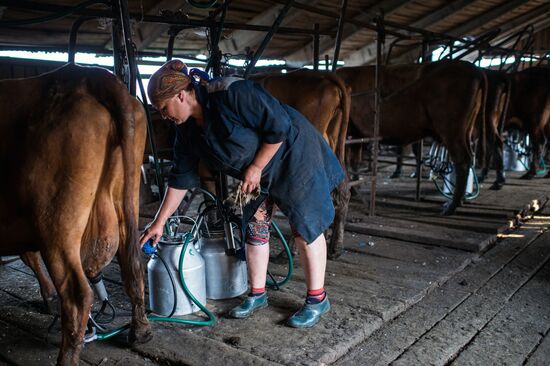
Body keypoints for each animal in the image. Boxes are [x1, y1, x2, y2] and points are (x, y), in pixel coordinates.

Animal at [0, 64, 151, 364]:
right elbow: (28, 254)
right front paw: (47, 297)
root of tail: (91, 76)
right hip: (124, 200)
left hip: (55, 221)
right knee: (133, 262)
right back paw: (140, 331)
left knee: (78, 295)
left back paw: (67, 358)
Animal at [336, 59, 488, 214]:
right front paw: (353, 189)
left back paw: (450, 207)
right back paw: (459, 201)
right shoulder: (356, 133)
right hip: (466, 129)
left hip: (451, 130)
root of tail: (473, 68)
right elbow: (354, 161)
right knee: (468, 158)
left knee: (462, 160)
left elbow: (345, 160)